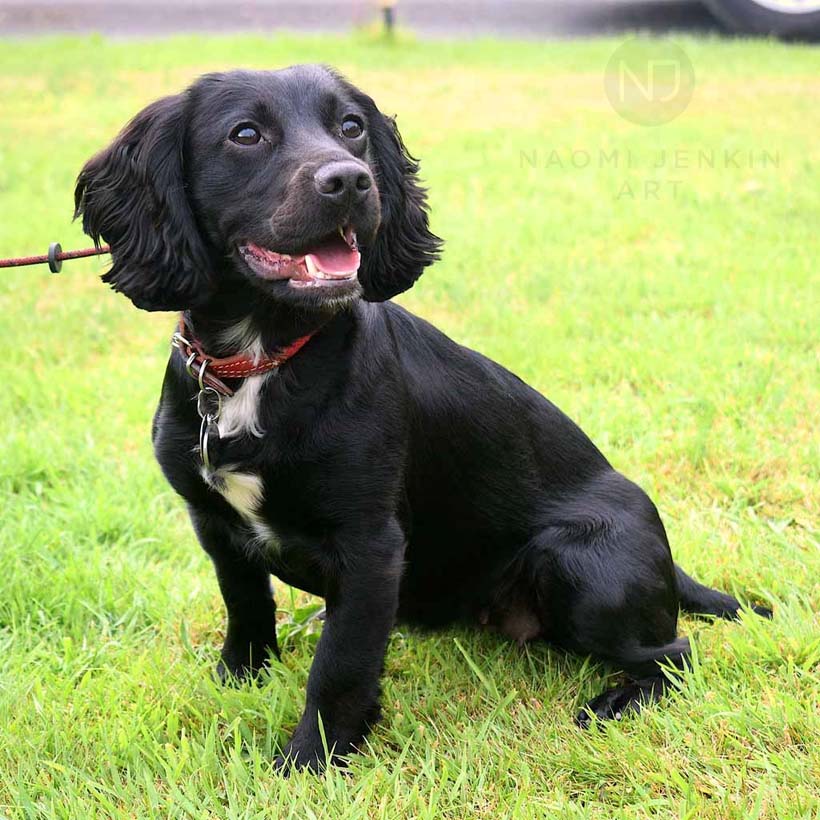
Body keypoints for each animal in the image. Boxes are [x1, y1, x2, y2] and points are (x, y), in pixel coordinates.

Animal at [75, 65, 768, 776]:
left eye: (352, 126)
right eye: (245, 134)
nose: (351, 180)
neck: (260, 363)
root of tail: (667, 561)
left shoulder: (370, 543)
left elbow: (341, 665)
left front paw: (311, 762)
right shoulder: (214, 521)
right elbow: (246, 606)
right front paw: (242, 680)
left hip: (581, 565)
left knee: (675, 655)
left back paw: (616, 702)